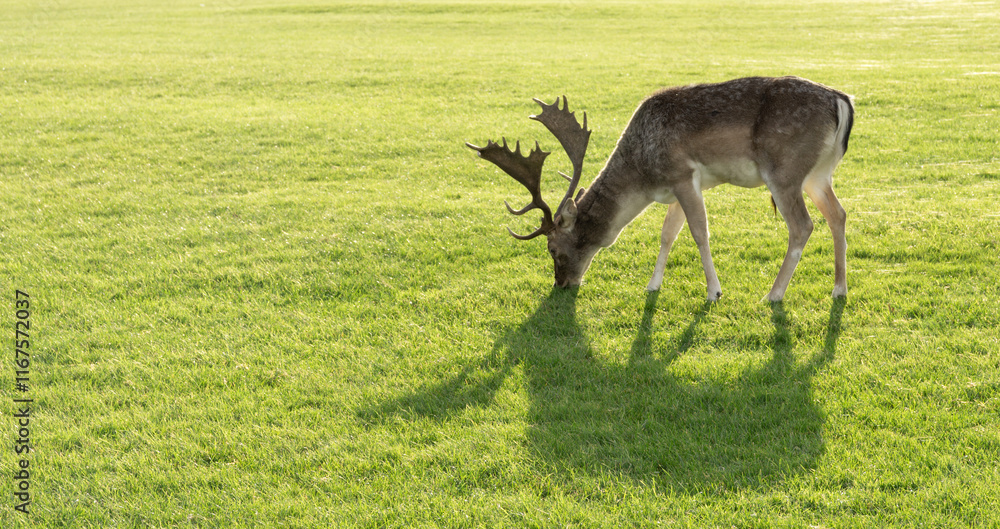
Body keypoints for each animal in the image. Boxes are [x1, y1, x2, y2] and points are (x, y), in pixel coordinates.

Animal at [466, 76, 854, 302]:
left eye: (553, 249)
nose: (561, 283)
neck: (643, 176)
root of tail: (841, 99)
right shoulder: (679, 188)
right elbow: (668, 234)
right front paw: (652, 285)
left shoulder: (682, 174)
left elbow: (699, 232)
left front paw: (714, 291)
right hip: (818, 174)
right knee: (838, 214)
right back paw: (838, 288)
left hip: (784, 170)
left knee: (802, 225)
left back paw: (773, 294)